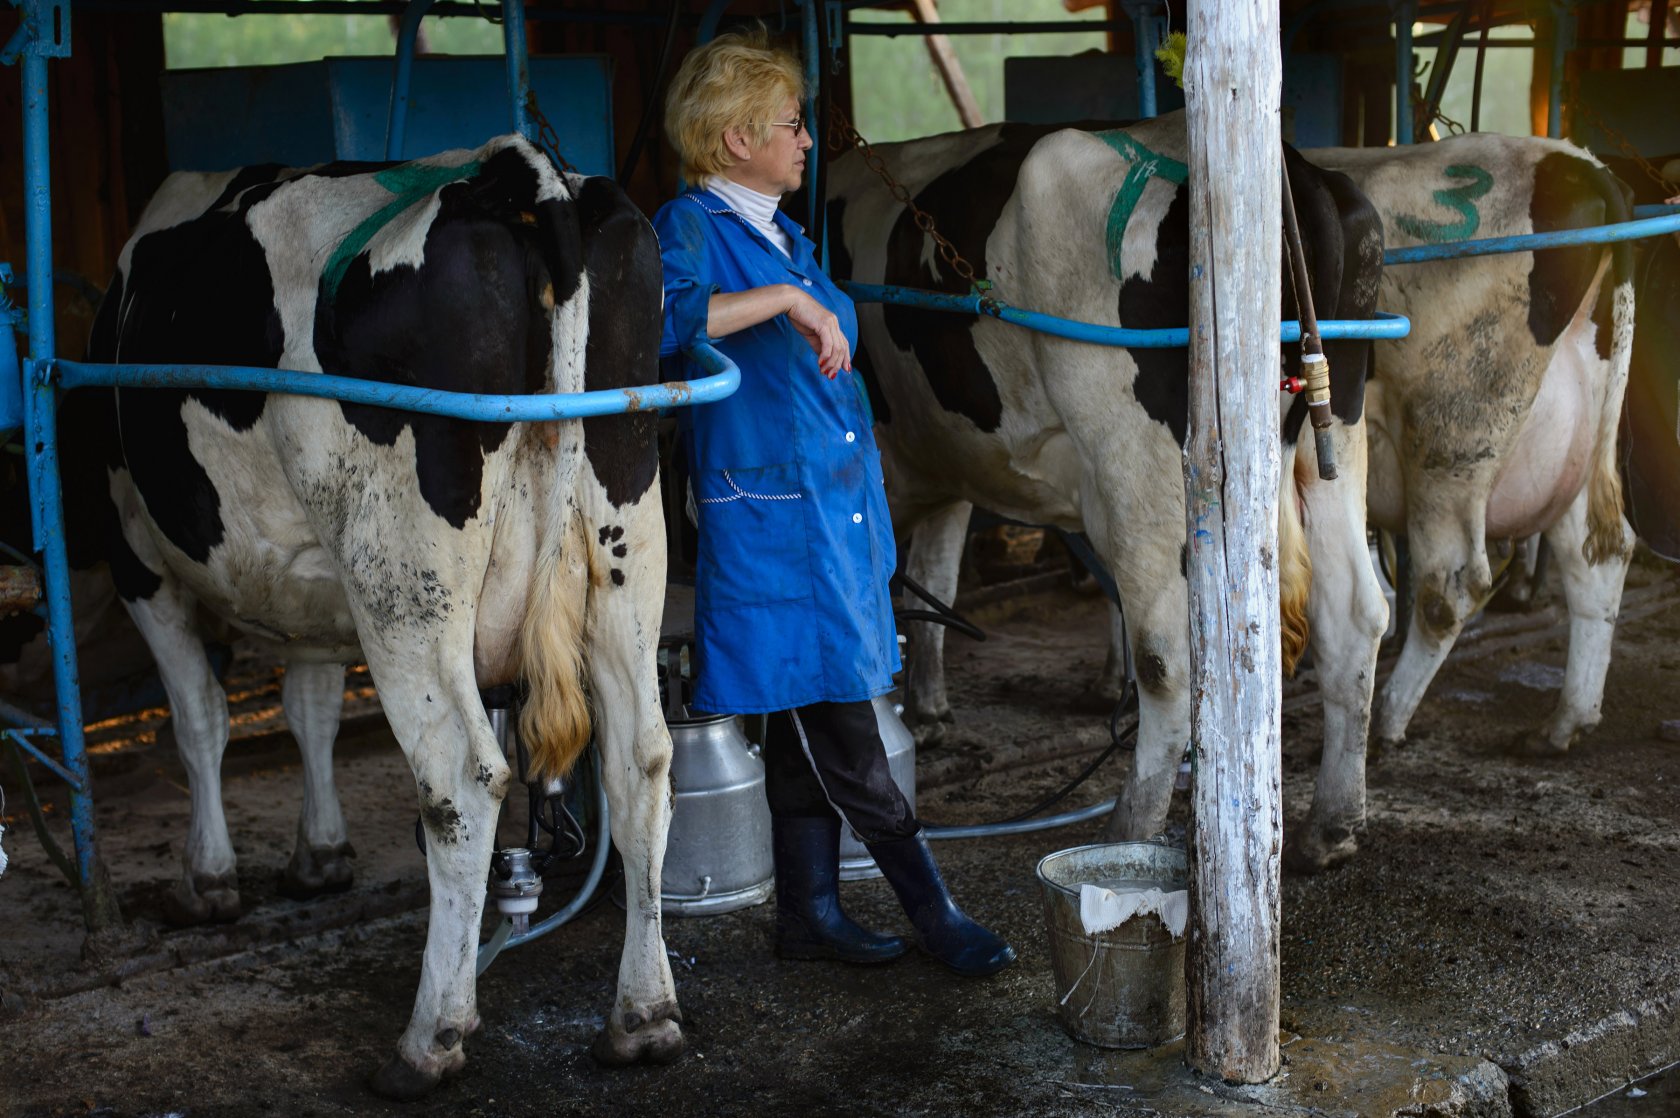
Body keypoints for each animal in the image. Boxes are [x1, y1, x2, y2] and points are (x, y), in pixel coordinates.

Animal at [83, 135, 675, 1096]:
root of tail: (517, 171)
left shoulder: (135, 553)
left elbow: (200, 719)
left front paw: (208, 879)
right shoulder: (311, 584)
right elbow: (311, 707)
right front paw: (319, 855)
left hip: (401, 574)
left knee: (464, 780)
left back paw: (430, 1039)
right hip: (625, 525)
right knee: (640, 758)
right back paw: (645, 1017)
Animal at [826, 110, 1391, 874]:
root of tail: (1292, 171)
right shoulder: (945, 467)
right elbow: (934, 573)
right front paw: (929, 708)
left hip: (1141, 463)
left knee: (1170, 656)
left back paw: (1130, 829)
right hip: (1331, 433)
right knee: (1357, 614)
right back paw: (1331, 826)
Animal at [1310, 131, 1639, 759]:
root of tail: (1580, 163)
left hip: (1454, 437)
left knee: (1452, 584)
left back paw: (1388, 718)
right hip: (1570, 433)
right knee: (1597, 554)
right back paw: (1565, 722)